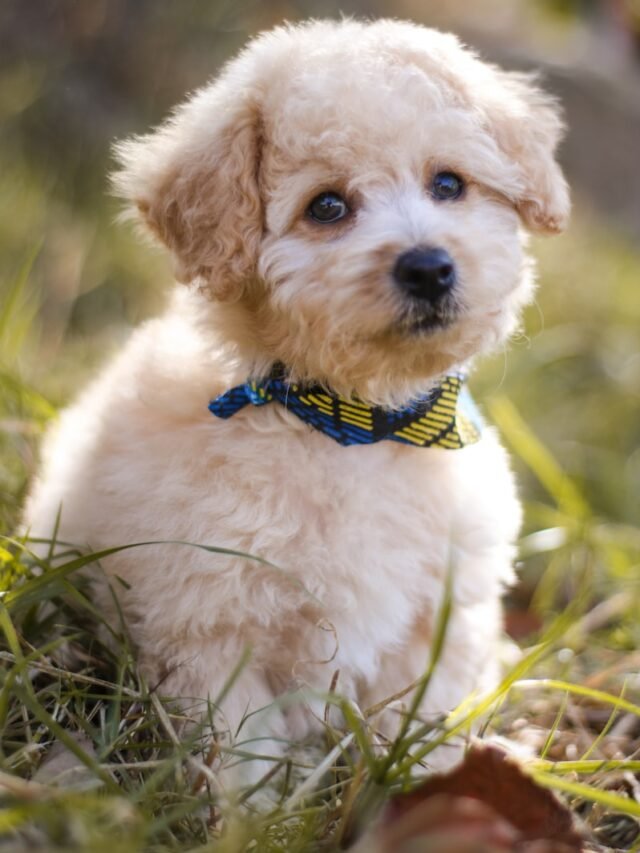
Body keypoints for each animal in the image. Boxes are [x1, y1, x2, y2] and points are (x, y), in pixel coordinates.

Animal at [25, 16, 568, 784]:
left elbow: (418, 720)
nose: (429, 267)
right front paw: (248, 808)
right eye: (328, 206)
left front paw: (424, 785)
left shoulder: (439, 618)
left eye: (449, 183)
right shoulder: (210, 622)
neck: (352, 423)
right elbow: (240, 748)